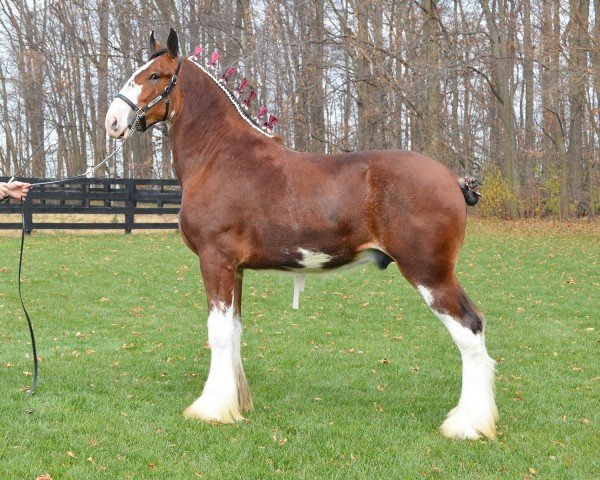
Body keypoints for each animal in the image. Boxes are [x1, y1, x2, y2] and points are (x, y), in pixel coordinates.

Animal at [104, 30, 496, 440]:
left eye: (155, 75)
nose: (113, 120)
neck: (220, 155)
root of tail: (453, 179)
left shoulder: (215, 261)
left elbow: (219, 332)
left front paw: (211, 408)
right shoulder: (236, 269)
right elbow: (235, 330)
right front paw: (237, 403)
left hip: (430, 274)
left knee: (469, 329)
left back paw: (468, 424)